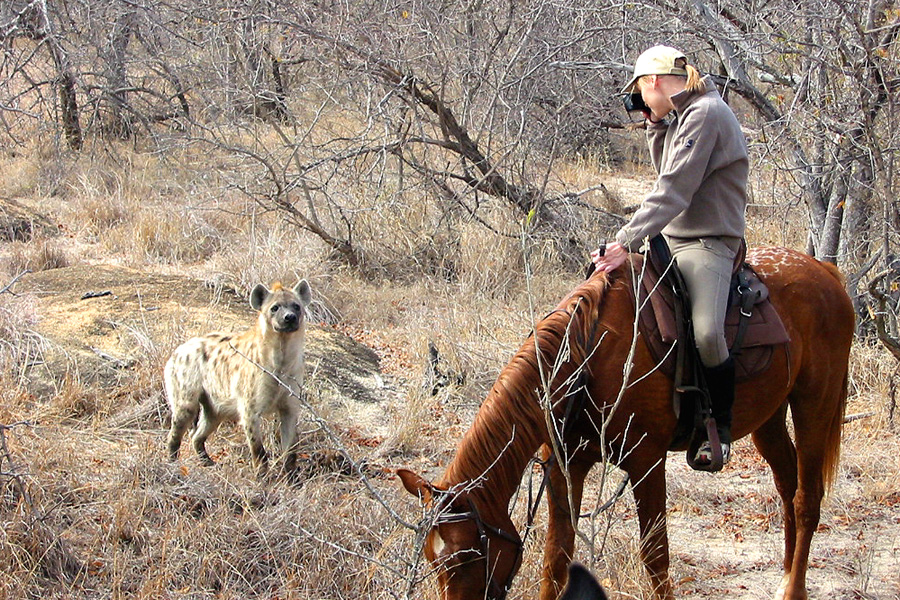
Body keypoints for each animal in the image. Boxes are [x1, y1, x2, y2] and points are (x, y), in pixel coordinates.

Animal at [398, 246, 854, 600]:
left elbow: (656, 557)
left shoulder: (647, 463)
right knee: (787, 484)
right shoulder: (565, 466)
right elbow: (556, 558)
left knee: (806, 498)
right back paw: (785, 577)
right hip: (770, 417)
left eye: (467, 557)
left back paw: (795, 587)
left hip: (814, 405)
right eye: (432, 559)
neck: (588, 356)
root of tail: (825, 272)